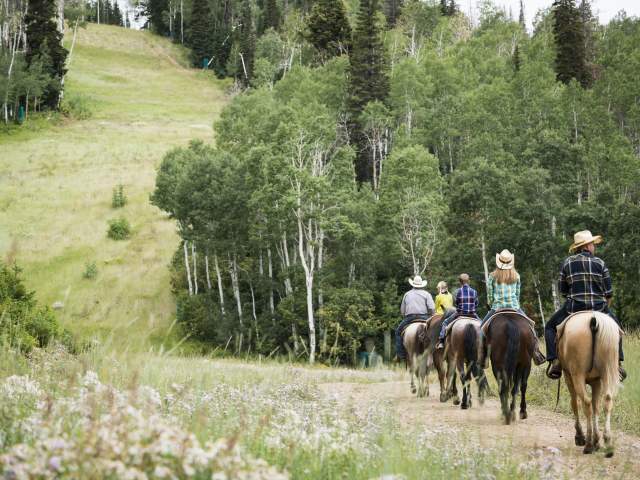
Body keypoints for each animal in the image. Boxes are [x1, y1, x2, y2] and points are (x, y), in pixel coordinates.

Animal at [556, 312, 624, 458]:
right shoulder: (596, 381)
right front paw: (597, 441)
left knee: (585, 403)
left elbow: (575, 403)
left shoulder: (568, 376)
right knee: (607, 400)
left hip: (577, 376)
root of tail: (594, 319)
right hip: (606, 373)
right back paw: (607, 443)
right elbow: (596, 406)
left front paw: (580, 437)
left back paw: (587, 445)